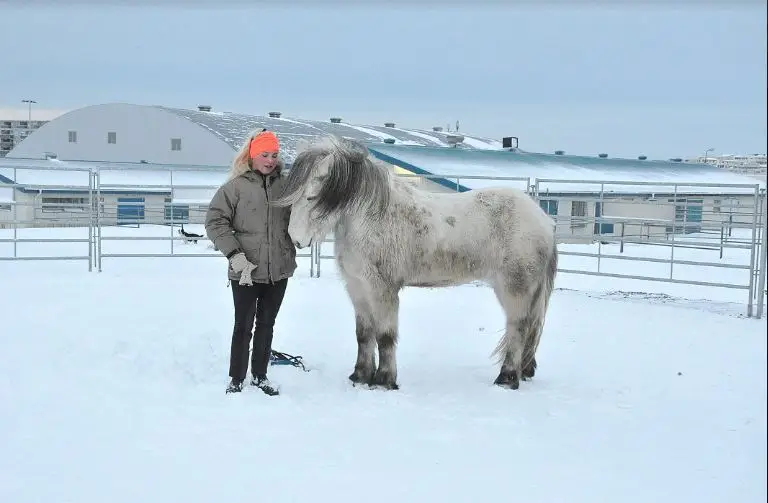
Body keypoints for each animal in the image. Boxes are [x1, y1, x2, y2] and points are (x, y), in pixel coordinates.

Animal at [272, 136, 560, 392]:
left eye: (311, 197)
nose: (296, 239)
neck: (370, 217)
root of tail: (544, 220)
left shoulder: (382, 289)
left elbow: (385, 336)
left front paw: (384, 380)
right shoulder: (357, 288)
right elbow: (364, 334)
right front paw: (360, 376)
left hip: (514, 287)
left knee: (518, 327)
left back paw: (507, 378)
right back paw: (523, 371)